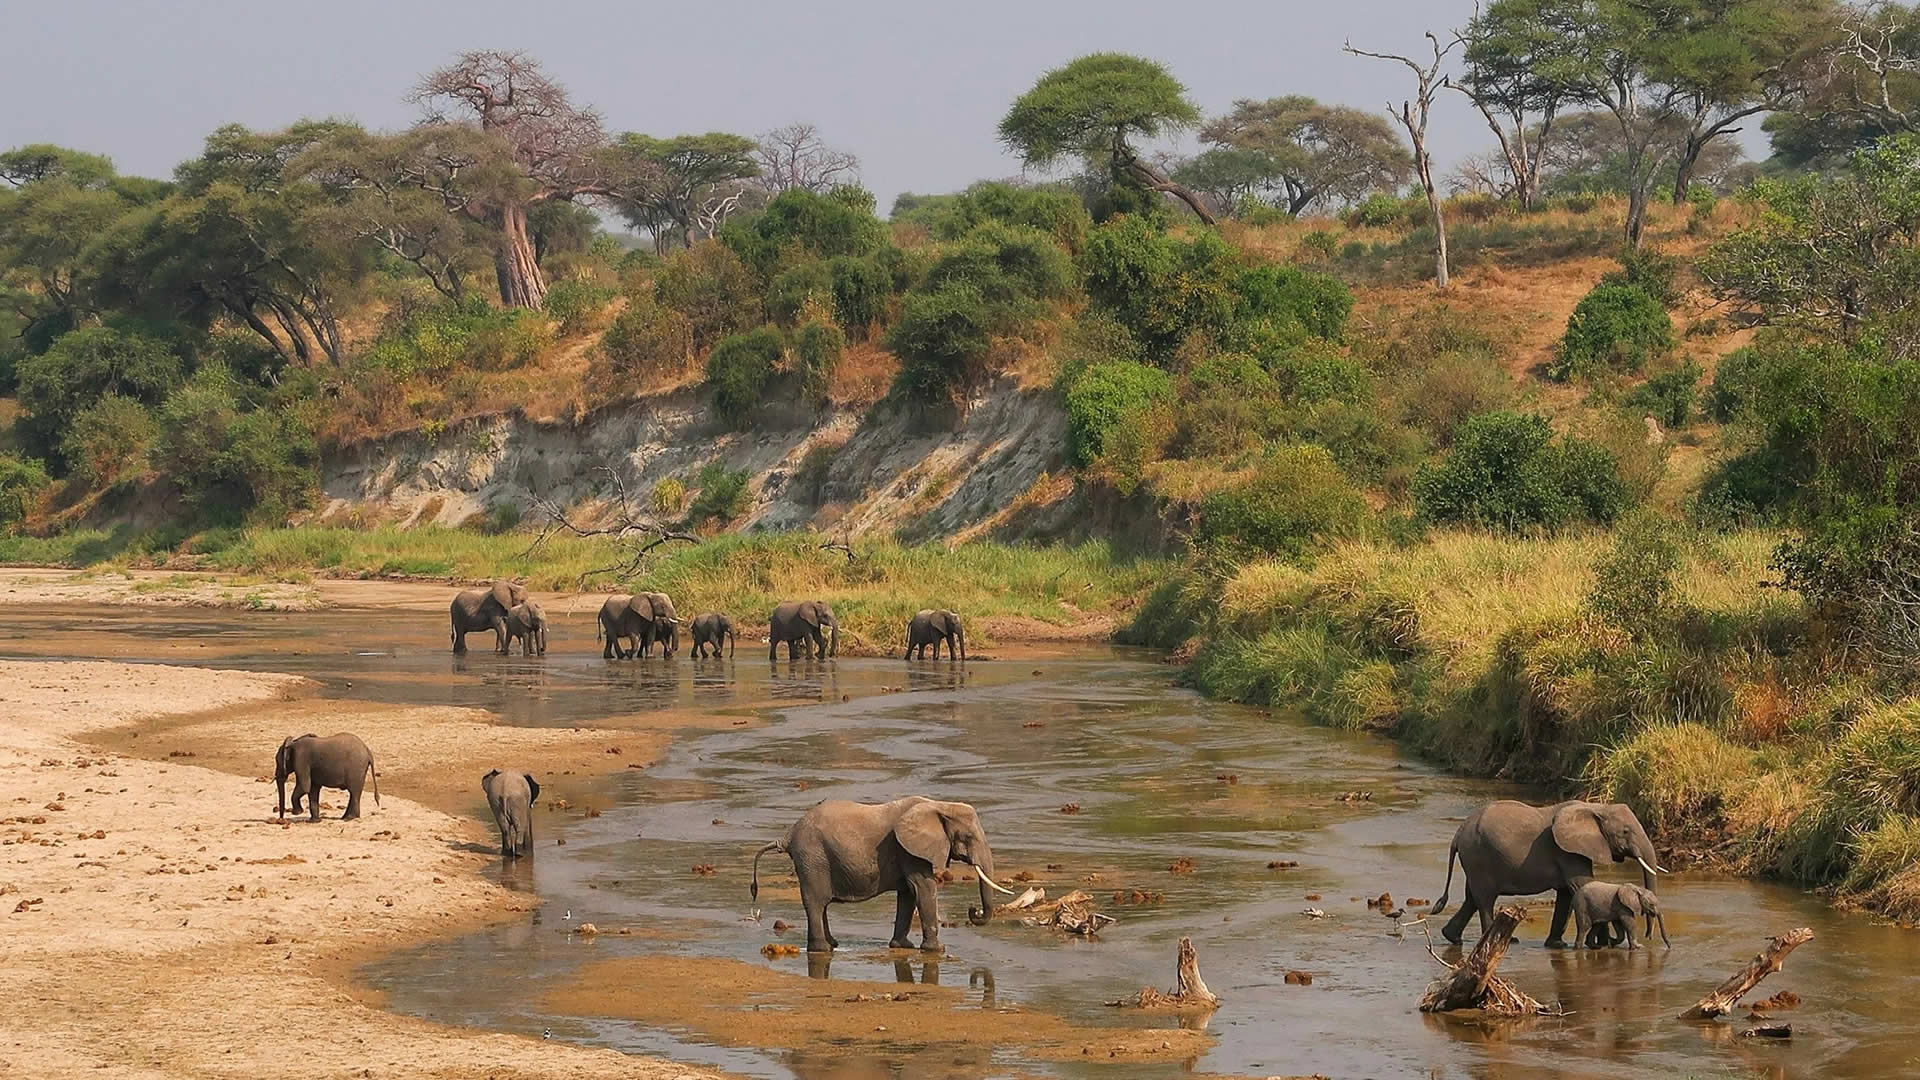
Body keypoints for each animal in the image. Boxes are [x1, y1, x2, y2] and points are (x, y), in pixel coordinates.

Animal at [750, 796, 1015, 953]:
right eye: (968, 837)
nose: (973, 910)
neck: (938, 805)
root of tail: (788, 834)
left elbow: (908, 893)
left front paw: (902, 946)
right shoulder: (908, 850)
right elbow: (923, 887)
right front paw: (937, 950)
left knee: (821, 904)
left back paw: (832, 945)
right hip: (812, 857)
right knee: (815, 902)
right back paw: (822, 949)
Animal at [1431, 799, 1663, 948]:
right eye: (1625, 831)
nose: (1649, 935)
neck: (1596, 807)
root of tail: (1459, 832)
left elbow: (1567, 893)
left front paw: (1557, 945)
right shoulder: (1567, 852)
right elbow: (1581, 885)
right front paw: (1603, 945)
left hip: (1474, 859)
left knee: (1471, 898)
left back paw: (1452, 938)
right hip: (1479, 856)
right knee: (1485, 899)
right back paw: (1501, 941)